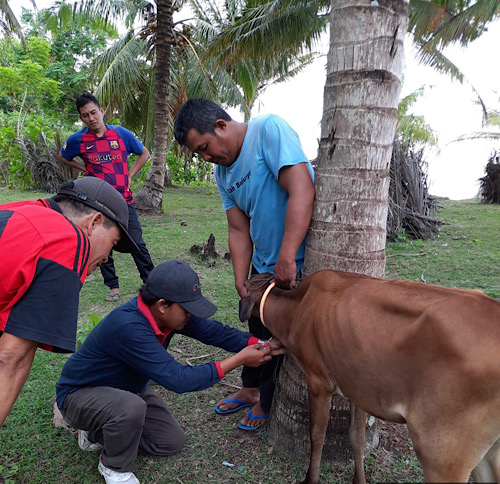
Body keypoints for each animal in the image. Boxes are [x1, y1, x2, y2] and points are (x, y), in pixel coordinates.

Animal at [239, 270, 500, 482]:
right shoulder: (358, 387)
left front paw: (310, 478)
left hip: (443, 452)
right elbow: (357, 438)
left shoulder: (318, 380)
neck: (296, 309)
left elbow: (316, 435)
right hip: (488, 451)